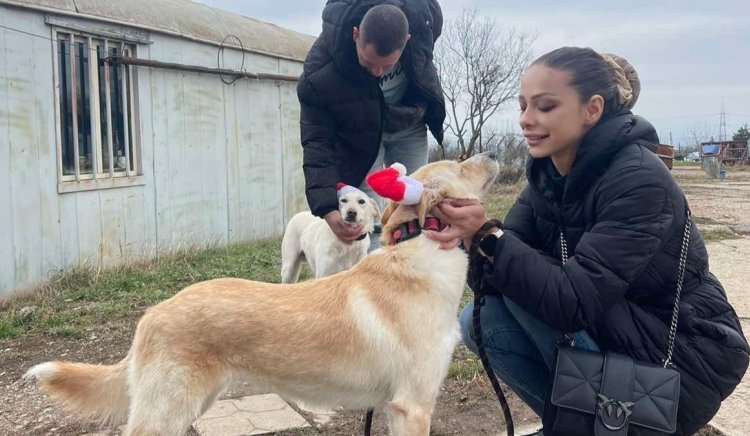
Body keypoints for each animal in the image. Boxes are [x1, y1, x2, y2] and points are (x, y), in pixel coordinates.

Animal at [23, 152, 502, 434]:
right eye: (461, 165)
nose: (494, 153)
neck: (423, 252)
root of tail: (153, 312)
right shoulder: (412, 407)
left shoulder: (392, 407)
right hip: (165, 412)